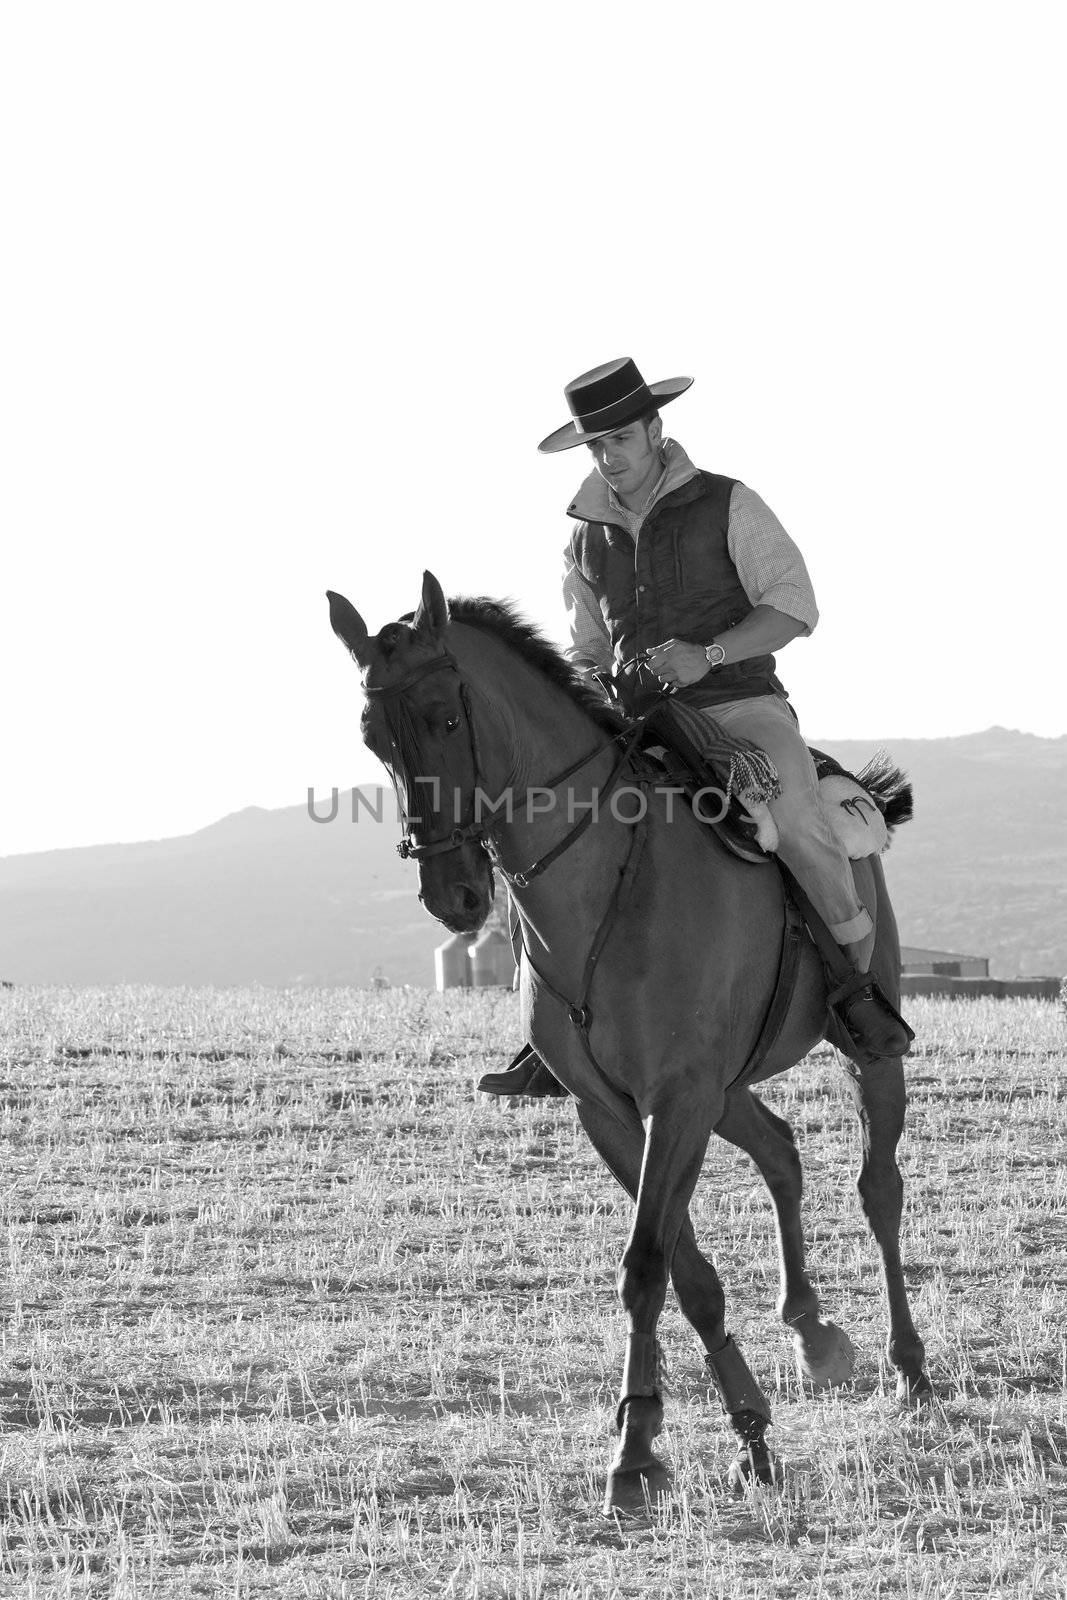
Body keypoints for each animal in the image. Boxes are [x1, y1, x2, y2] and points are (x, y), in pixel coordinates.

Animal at [327, 572, 934, 1510]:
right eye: (371, 735)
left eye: (446, 717)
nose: (454, 895)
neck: (609, 877)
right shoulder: (615, 1112)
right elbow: (685, 1275)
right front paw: (733, 1429)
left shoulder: (674, 1101)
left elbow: (647, 1265)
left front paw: (638, 1449)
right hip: (726, 1090)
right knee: (781, 1152)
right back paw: (810, 1332)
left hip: (865, 1054)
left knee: (879, 1190)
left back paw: (909, 1368)